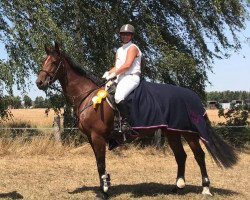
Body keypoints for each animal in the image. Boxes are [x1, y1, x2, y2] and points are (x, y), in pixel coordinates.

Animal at [35, 41, 238, 198]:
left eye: (54, 62)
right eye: (43, 60)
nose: (39, 82)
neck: (88, 96)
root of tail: (193, 97)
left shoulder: (97, 137)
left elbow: (101, 163)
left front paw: (105, 190)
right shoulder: (92, 139)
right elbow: (99, 164)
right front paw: (104, 186)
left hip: (189, 133)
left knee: (199, 156)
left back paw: (205, 188)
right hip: (172, 132)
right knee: (181, 156)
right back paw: (178, 187)